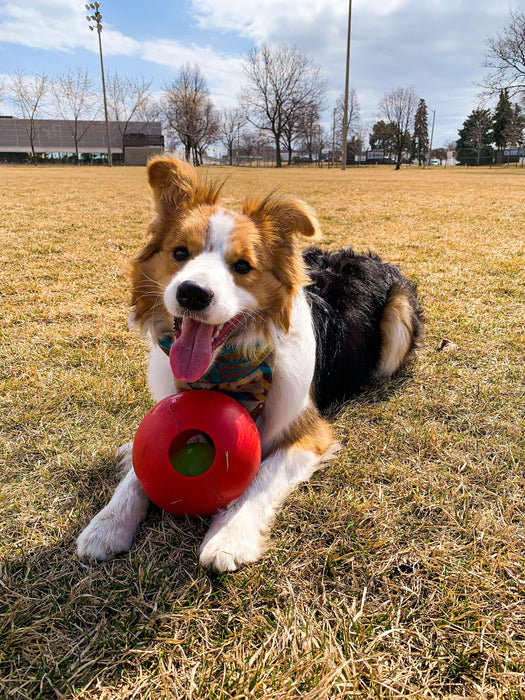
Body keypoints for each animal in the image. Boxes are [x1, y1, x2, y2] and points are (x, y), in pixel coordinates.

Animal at [77, 156, 422, 572]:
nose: (192, 293)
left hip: (398, 315)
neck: (224, 374)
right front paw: (105, 526)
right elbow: (136, 476)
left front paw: (228, 538)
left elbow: (263, 475)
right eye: (180, 253)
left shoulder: (309, 431)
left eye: (242, 266)